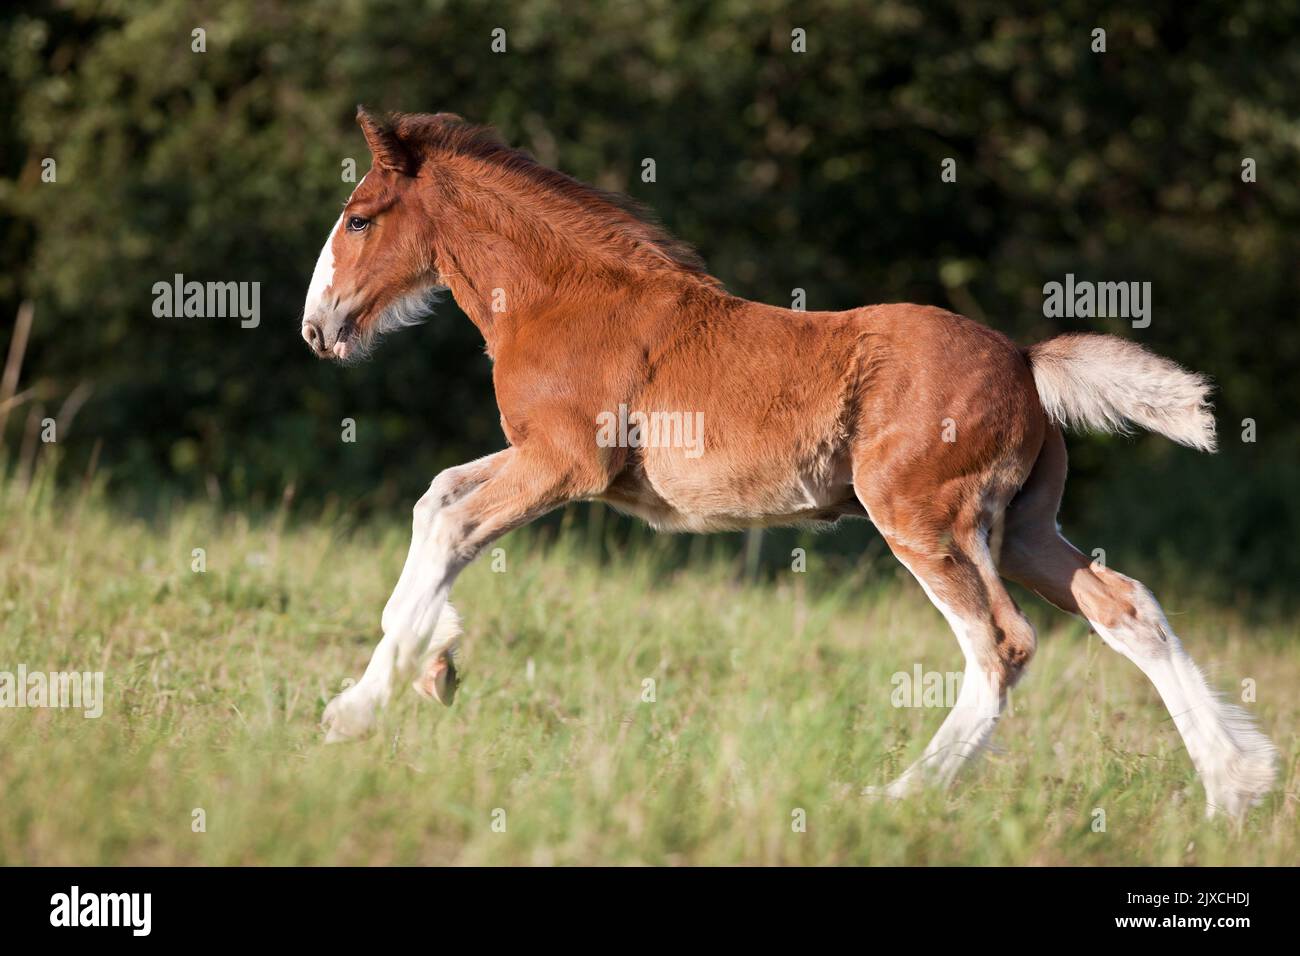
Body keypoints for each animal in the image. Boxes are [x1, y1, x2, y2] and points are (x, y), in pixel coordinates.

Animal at [300, 107, 1277, 820]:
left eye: (358, 218)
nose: (317, 328)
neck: (564, 299)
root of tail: (1028, 364)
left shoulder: (565, 465)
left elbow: (455, 523)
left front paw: (358, 709)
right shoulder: (542, 457)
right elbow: (435, 501)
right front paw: (437, 664)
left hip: (923, 517)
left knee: (1001, 643)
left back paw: (895, 797)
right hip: (1026, 527)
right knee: (1126, 606)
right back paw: (1236, 787)